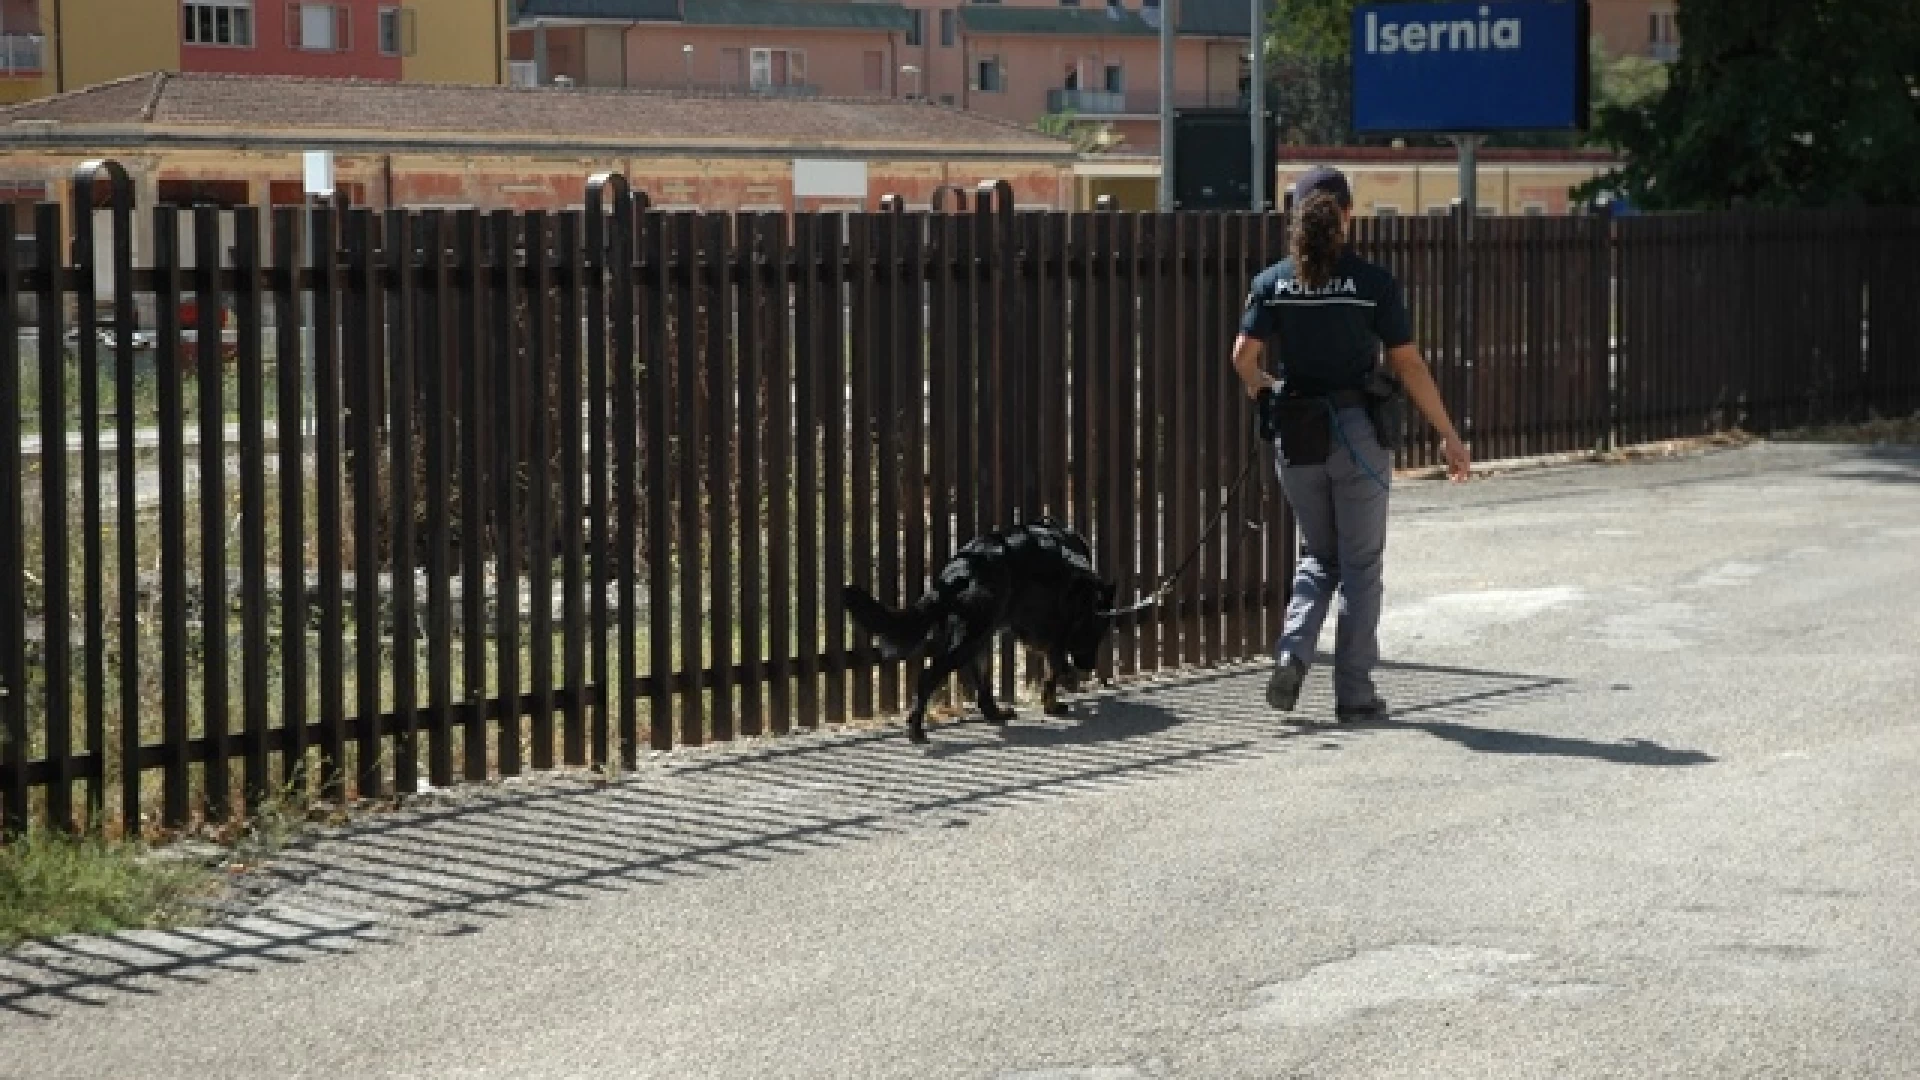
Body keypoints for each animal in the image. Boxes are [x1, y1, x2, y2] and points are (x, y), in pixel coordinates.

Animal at [837, 515, 1113, 737]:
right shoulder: (1055, 630)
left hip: (978, 637)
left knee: (981, 683)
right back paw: (916, 728)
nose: (1088, 666)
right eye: (1095, 634)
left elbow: (1052, 667)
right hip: (972, 638)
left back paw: (994, 713)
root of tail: (959, 571)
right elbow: (1055, 666)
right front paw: (1054, 699)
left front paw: (1051, 702)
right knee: (928, 676)